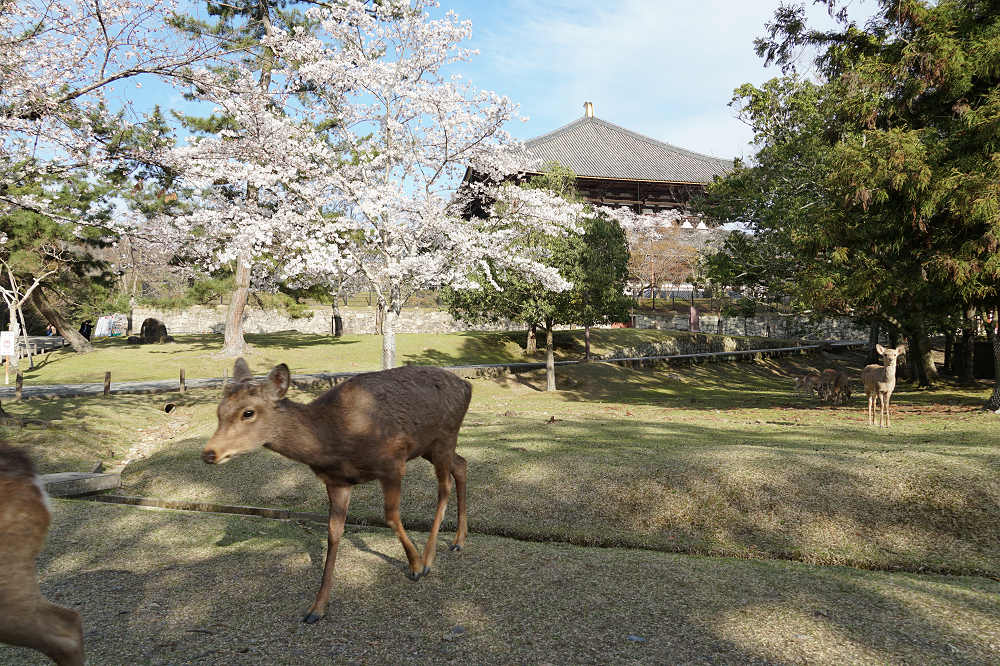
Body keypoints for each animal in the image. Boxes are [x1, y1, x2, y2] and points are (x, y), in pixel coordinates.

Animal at [202, 359, 472, 624]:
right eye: (219, 411)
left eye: (248, 412)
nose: (209, 453)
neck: (333, 442)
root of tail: (467, 387)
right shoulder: (337, 482)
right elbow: (333, 533)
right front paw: (317, 608)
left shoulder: (393, 463)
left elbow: (391, 517)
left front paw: (414, 565)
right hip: (429, 447)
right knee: (461, 465)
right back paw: (458, 541)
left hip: (444, 437)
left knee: (444, 486)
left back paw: (429, 558)